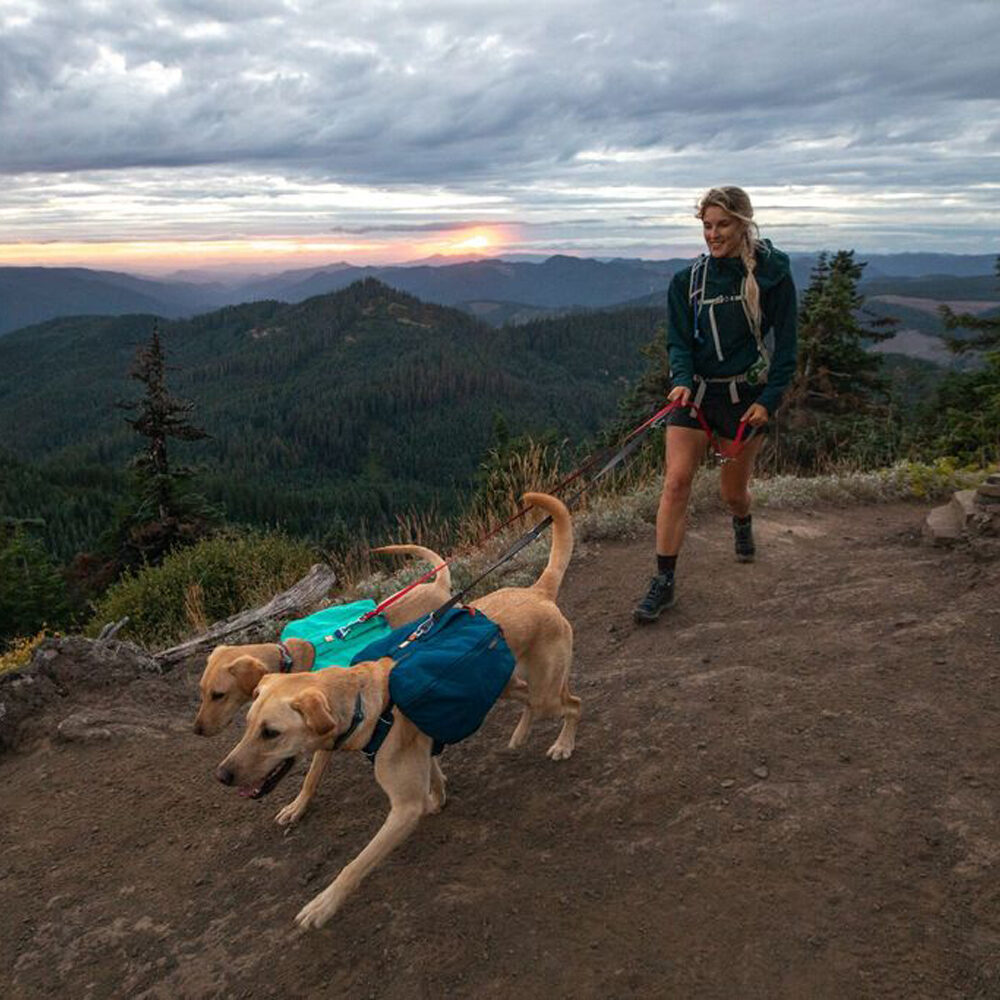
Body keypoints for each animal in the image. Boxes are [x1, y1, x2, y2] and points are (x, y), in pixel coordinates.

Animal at [215, 492, 584, 928]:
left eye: (271, 732)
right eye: (247, 724)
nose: (222, 775)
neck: (368, 703)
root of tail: (538, 591)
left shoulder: (402, 809)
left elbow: (355, 864)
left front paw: (323, 905)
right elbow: (434, 776)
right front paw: (439, 796)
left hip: (545, 691)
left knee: (573, 705)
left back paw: (563, 744)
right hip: (510, 684)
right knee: (535, 703)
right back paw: (520, 734)